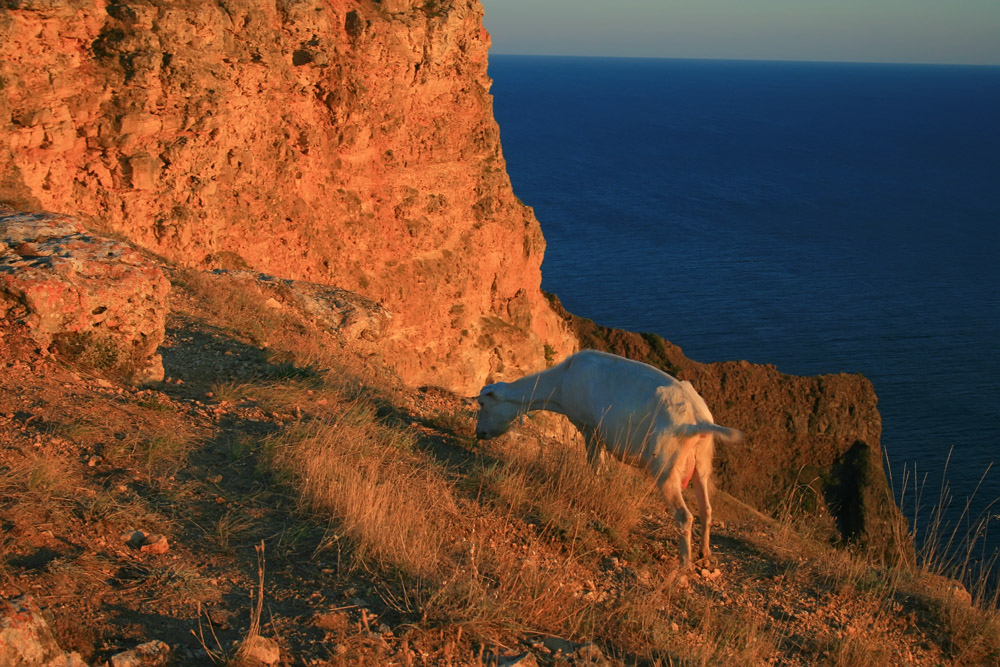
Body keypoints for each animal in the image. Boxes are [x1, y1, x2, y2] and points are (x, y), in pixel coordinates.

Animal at [476, 350, 744, 568]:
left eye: (482, 403)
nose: (479, 433)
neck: (562, 380)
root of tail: (698, 420)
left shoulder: (590, 429)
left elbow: (595, 467)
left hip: (666, 464)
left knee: (684, 516)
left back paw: (682, 570)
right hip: (702, 462)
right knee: (706, 509)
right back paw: (704, 554)